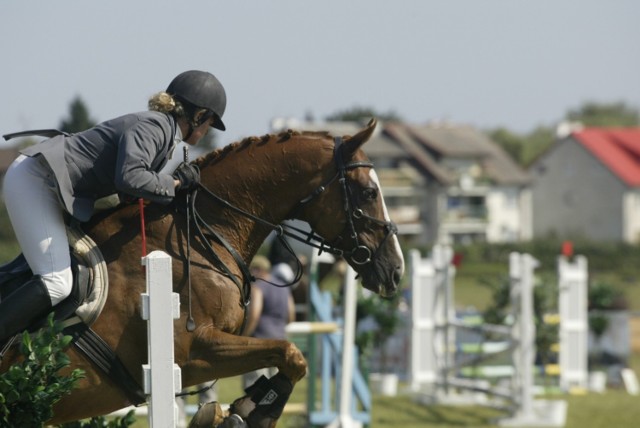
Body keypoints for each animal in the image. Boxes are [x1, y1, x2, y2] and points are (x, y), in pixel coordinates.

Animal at [0, 118, 402, 426]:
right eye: (368, 193)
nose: (395, 271)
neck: (197, 235)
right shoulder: (194, 350)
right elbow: (290, 352)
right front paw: (247, 413)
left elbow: (288, 358)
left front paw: (238, 410)